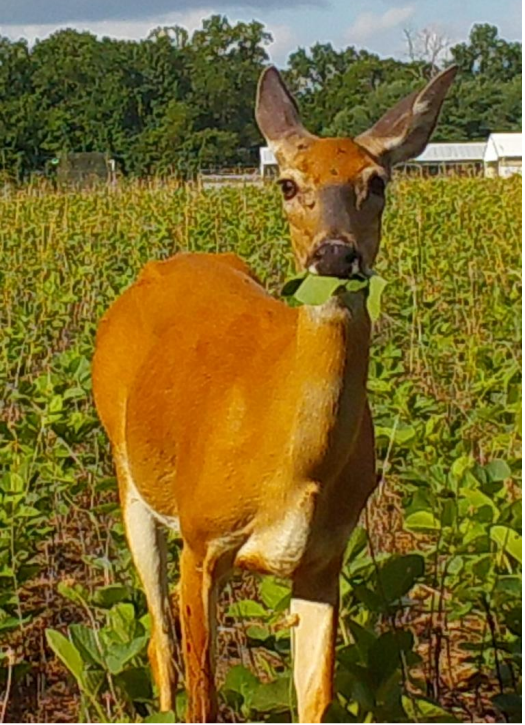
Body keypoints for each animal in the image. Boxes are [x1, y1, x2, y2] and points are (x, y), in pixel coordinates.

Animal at [92, 65, 457, 724]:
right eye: (288, 183)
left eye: (377, 182)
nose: (335, 253)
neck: (293, 462)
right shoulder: (202, 541)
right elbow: (203, 698)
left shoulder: (324, 560)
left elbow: (315, 698)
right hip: (128, 473)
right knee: (158, 636)